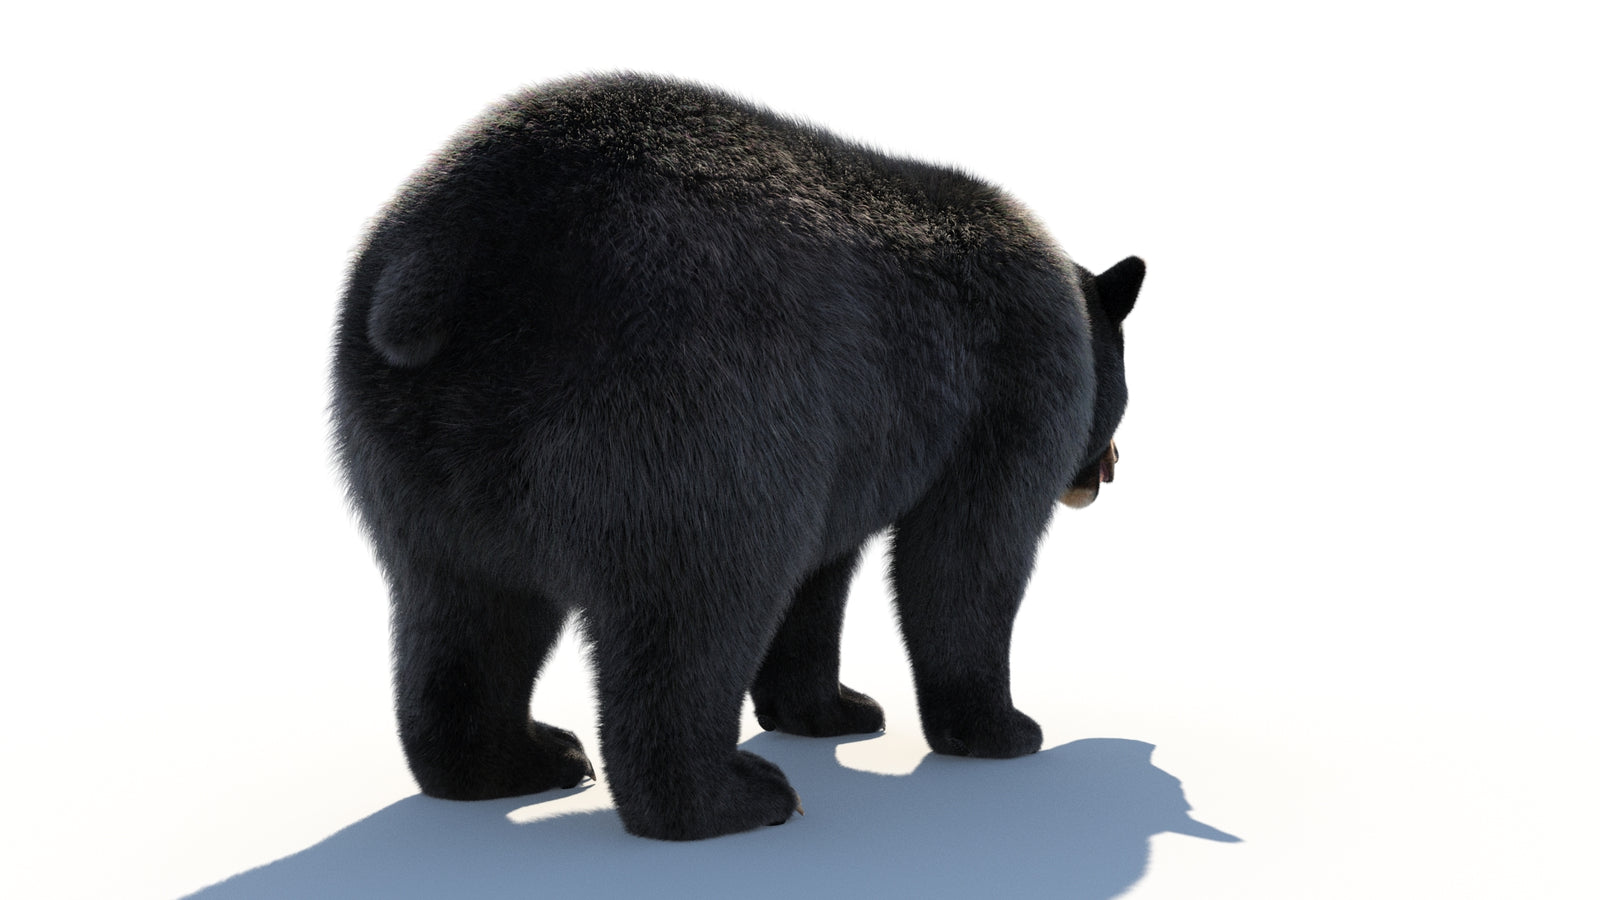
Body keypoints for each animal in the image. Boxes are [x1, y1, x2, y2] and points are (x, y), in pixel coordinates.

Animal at [330, 72, 1143, 841]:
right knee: (699, 606)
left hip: (421, 445)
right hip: (686, 414)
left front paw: (834, 708)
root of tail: (452, 252)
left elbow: (820, 576)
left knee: (463, 609)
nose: (1107, 470)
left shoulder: (851, 438)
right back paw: (733, 798)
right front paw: (1004, 728)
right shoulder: (1013, 380)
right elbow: (967, 552)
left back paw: (515, 762)